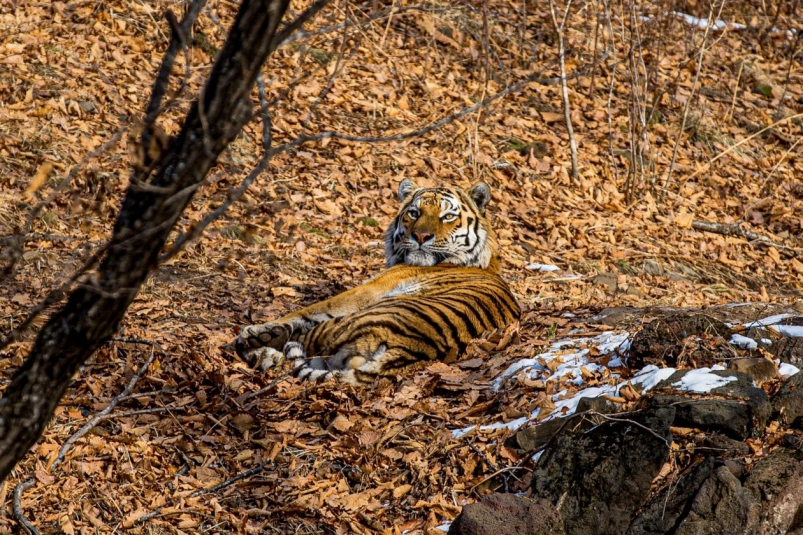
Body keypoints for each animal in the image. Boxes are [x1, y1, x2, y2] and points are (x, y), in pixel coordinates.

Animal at [234, 179, 520, 386]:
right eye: (414, 213)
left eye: (447, 216)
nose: (420, 236)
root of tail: (406, 351)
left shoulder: (370, 289)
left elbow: (309, 310)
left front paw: (257, 328)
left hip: (343, 323)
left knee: (296, 341)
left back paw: (256, 342)